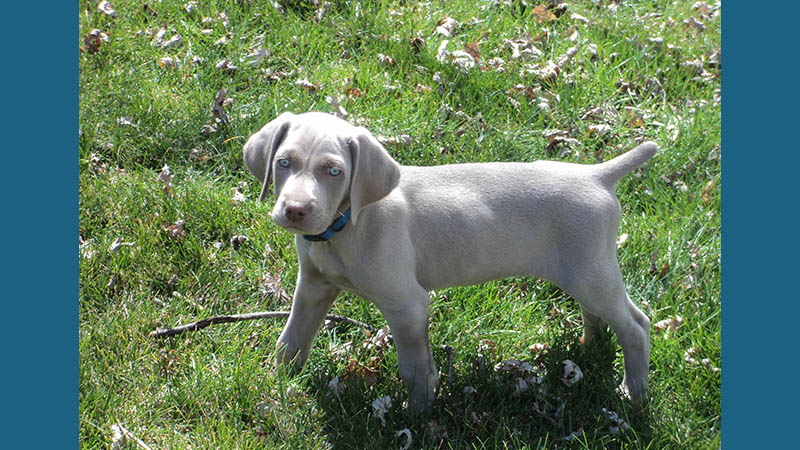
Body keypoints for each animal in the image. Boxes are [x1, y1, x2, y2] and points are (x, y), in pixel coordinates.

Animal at [244, 111, 656, 412]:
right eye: (283, 163)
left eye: (334, 171)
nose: (295, 210)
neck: (340, 230)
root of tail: (596, 176)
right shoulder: (313, 287)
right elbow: (291, 339)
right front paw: (279, 383)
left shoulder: (408, 304)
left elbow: (414, 366)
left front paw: (419, 412)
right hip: (583, 271)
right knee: (598, 313)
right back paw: (590, 346)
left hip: (591, 272)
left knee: (637, 325)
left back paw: (633, 393)